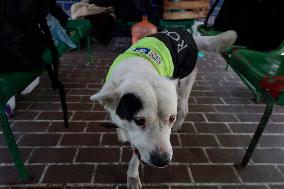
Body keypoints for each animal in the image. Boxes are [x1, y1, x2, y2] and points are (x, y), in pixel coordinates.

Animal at [90, 28, 236, 188]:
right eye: (139, 120)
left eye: (171, 118)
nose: (162, 161)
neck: (139, 69)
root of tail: (190, 36)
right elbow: (115, 118)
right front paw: (121, 133)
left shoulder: (141, 145)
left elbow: (136, 155)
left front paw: (133, 177)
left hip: (185, 82)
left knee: (184, 108)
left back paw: (178, 126)